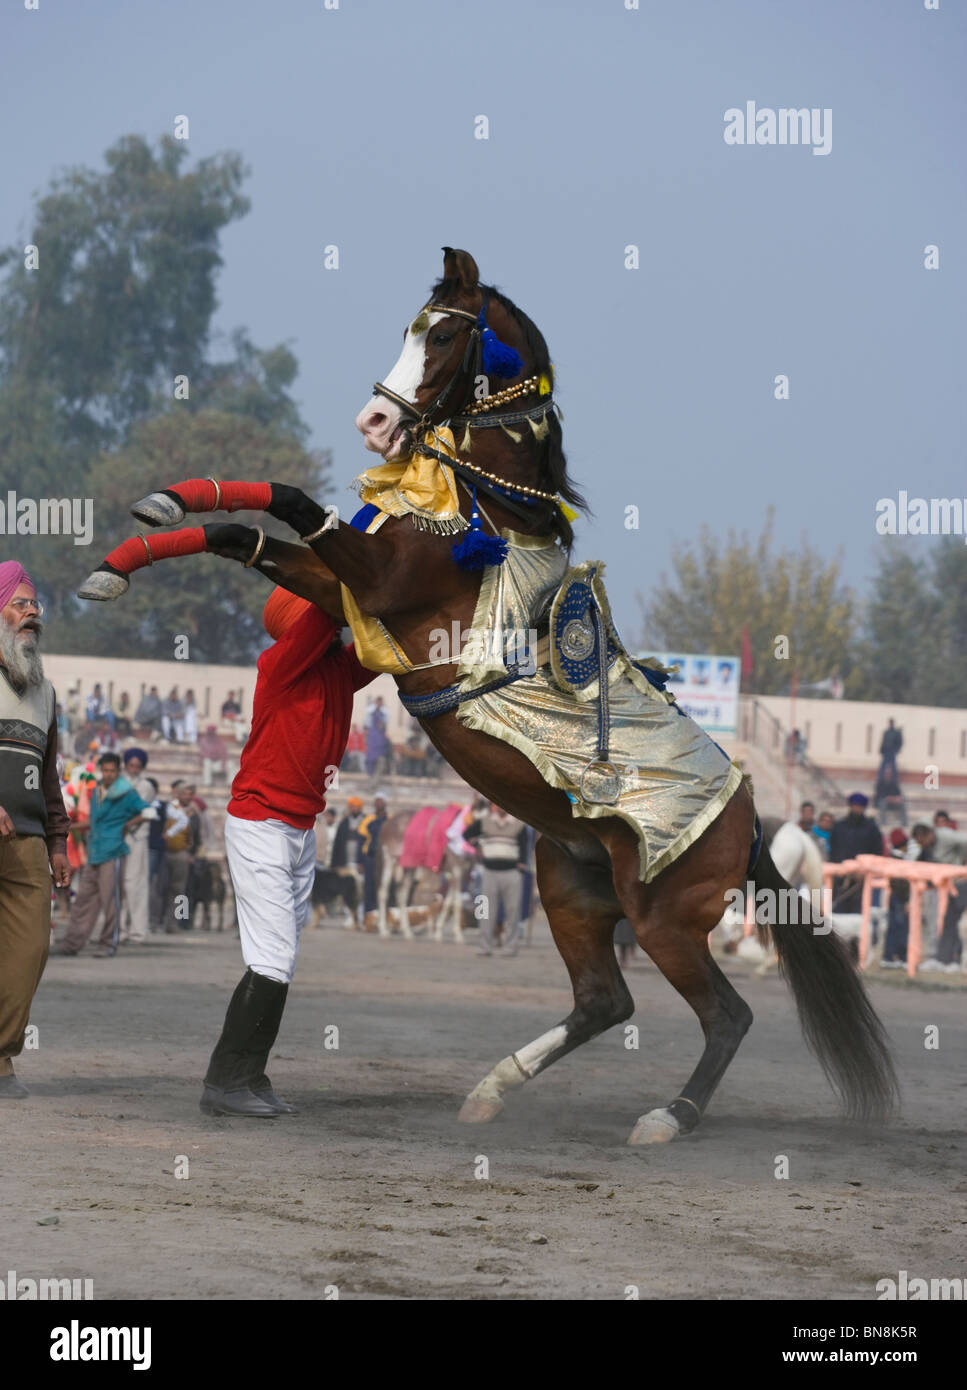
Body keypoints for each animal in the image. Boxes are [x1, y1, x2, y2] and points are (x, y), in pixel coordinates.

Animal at [81, 247, 900, 1139]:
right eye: (410, 325)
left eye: (442, 335)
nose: (375, 423)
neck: (490, 515)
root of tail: (751, 824)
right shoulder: (351, 597)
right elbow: (249, 528)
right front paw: (143, 531)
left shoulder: (376, 586)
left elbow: (297, 506)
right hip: (570, 886)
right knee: (603, 1001)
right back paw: (492, 1088)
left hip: (664, 917)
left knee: (726, 1015)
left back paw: (667, 1116)